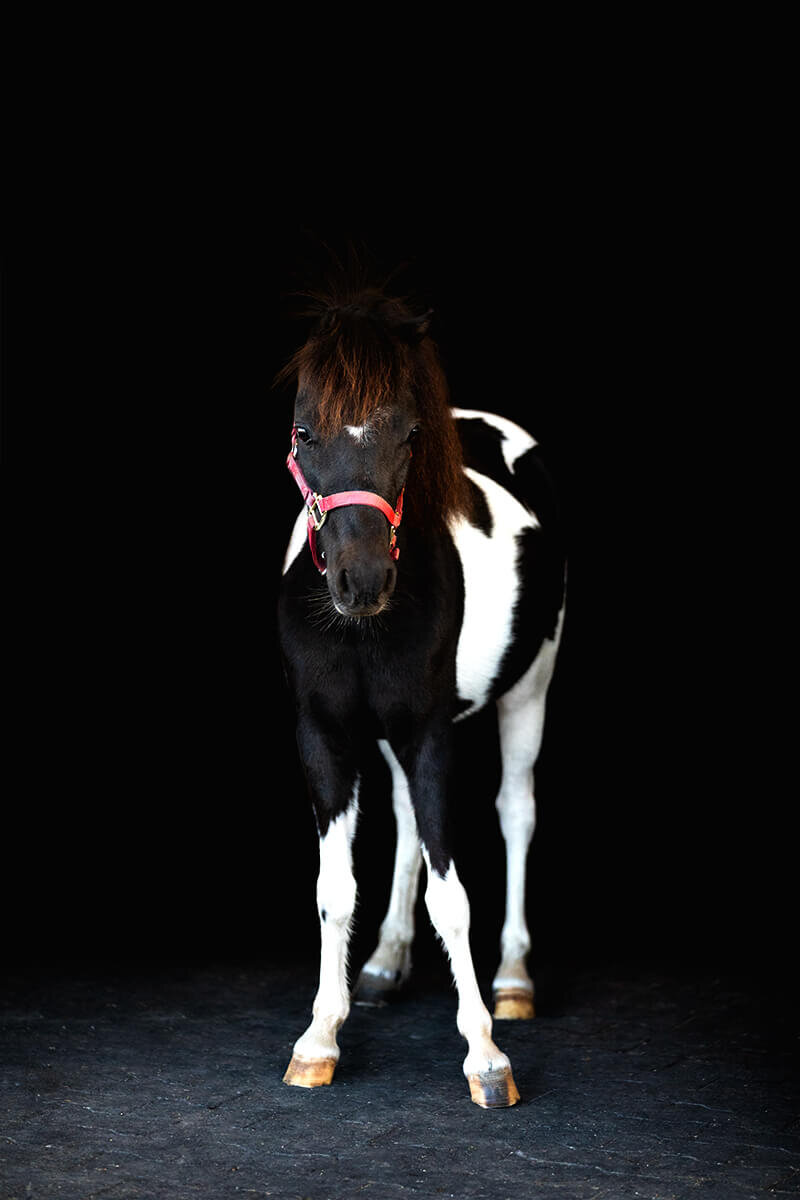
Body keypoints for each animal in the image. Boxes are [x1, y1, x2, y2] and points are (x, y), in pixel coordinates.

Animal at [278, 288, 566, 1104]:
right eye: (303, 432)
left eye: (409, 436)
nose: (363, 582)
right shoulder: (325, 736)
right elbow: (335, 887)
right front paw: (320, 1036)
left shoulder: (431, 733)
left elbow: (454, 894)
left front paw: (486, 1055)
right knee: (408, 820)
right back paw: (386, 961)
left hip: (530, 690)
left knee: (517, 813)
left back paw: (513, 979)